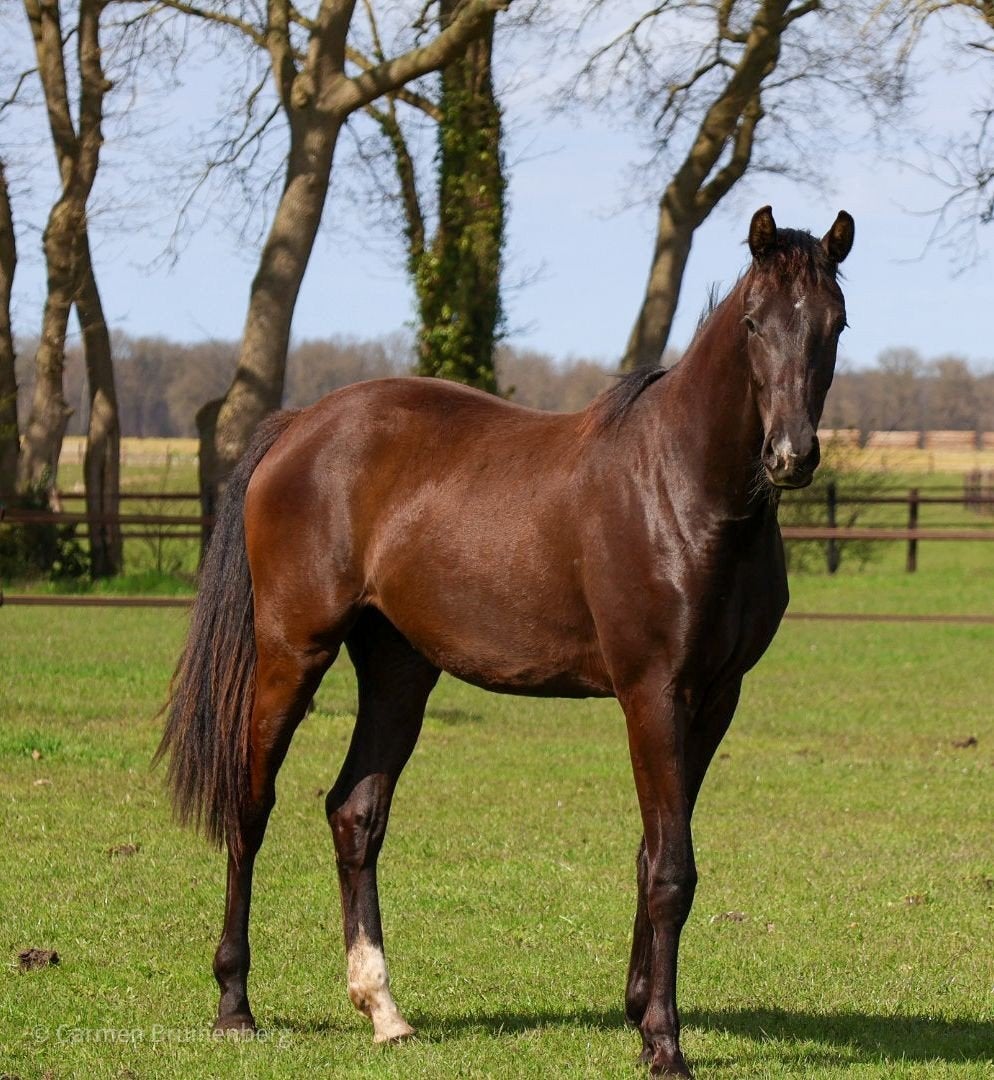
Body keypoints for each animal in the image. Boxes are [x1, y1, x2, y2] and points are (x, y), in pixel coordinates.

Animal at [157, 204, 853, 1077]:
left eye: (834, 323)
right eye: (755, 323)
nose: (792, 455)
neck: (684, 490)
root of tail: (297, 428)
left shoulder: (714, 699)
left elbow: (654, 852)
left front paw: (638, 1011)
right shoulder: (653, 694)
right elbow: (671, 868)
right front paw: (664, 1041)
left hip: (399, 670)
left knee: (355, 813)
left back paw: (383, 1009)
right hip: (293, 652)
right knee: (250, 805)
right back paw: (234, 1004)